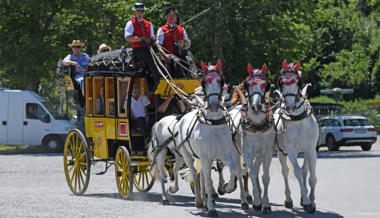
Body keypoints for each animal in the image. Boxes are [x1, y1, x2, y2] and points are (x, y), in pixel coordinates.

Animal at [176, 59, 248, 216]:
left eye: (221, 80)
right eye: (204, 81)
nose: (214, 105)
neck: (213, 123)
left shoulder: (226, 154)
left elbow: (235, 171)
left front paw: (225, 188)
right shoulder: (205, 156)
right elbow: (209, 181)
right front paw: (211, 208)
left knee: (202, 175)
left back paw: (205, 200)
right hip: (189, 155)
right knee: (194, 173)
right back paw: (199, 201)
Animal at [230, 63, 274, 213]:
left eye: (265, 85)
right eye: (248, 84)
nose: (256, 106)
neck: (257, 125)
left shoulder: (267, 152)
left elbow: (265, 176)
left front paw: (265, 203)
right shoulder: (247, 152)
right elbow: (252, 173)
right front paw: (257, 203)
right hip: (236, 151)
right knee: (239, 171)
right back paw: (244, 200)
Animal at [274, 59, 320, 213]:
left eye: (296, 81)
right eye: (281, 82)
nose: (289, 107)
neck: (298, 119)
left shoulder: (311, 150)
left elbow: (312, 177)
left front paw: (311, 201)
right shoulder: (291, 151)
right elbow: (297, 172)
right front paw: (306, 201)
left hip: (305, 151)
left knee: (305, 171)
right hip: (281, 152)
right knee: (285, 172)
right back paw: (289, 199)